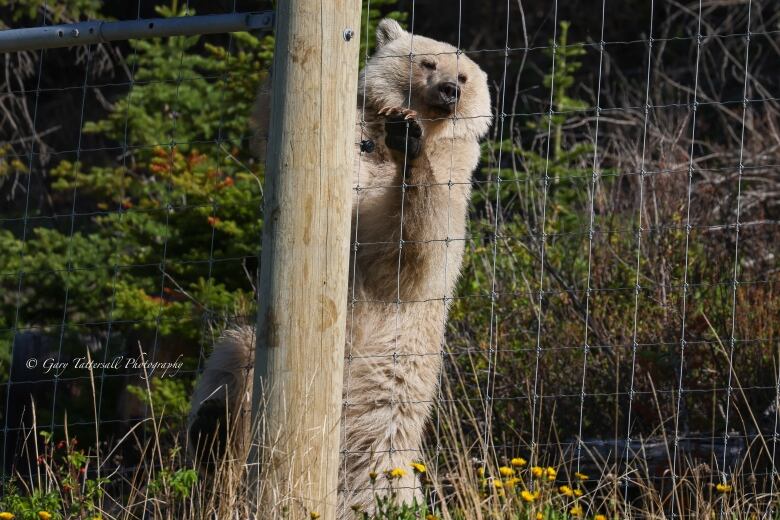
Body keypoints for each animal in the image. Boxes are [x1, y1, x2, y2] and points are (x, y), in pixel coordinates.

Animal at [189, 18, 490, 512]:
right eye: (427, 62)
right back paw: (211, 431)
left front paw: (409, 144)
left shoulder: (454, 172)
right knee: (234, 367)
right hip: (257, 362)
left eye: (464, 77)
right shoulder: (353, 131)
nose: (449, 90)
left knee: (376, 469)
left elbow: (413, 249)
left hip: (385, 401)